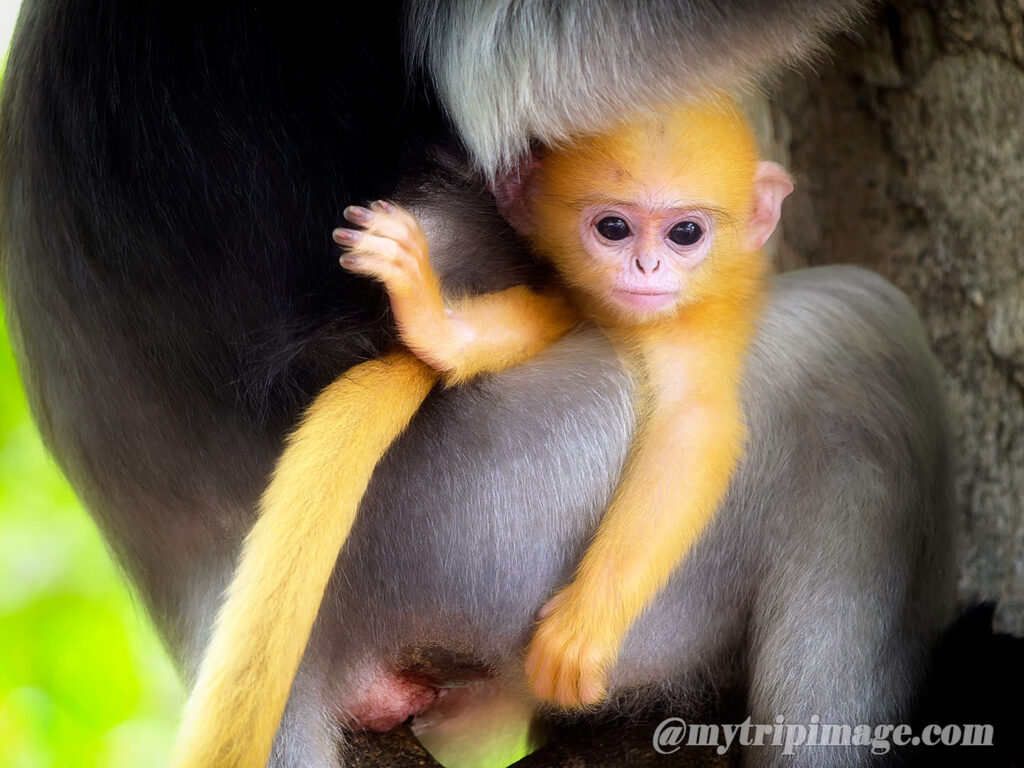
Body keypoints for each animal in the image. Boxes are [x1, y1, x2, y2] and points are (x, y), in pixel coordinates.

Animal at [1, 2, 956, 767]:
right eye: (616, 228)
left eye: (685, 233)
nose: (648, 270)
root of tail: (192, 577)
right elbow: (563, 60)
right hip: (476, 524)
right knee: (854, 348)